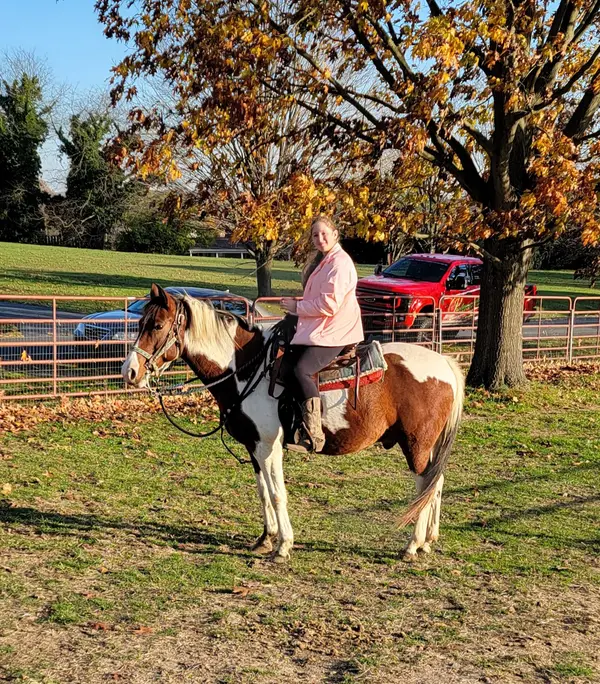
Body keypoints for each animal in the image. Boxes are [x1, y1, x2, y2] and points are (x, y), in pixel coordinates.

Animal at [122, 284, 465, 563]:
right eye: (139, 323)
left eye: (157, 324)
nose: (130, 372)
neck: (247, 368)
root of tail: (444, 363)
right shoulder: (254, 446)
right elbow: (263, 491)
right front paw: (265, 538)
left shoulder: (269, 445)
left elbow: (277, 493)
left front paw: (283, 545)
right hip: (428, 445)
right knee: (436, 481)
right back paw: (429, 540)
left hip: (416, 443)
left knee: (424, 485)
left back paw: (412, 545)